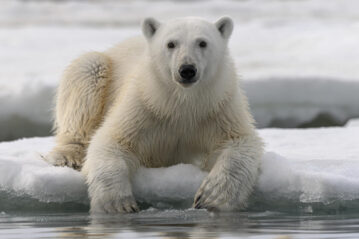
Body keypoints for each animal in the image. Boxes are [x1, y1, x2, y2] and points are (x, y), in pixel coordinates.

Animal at [45, 16, 264, 214]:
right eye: (171, 43)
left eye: (202, 42)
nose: (187, 69)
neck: (182, 103)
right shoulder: (144, 104)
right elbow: (111, 140)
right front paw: (118, 204)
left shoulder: (218, 107)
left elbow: (240, 141)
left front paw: (212, 197)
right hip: (99, 70)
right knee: (88, 71)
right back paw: (69, 156)